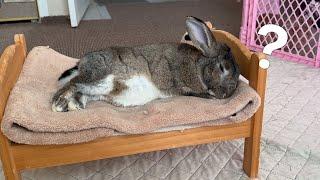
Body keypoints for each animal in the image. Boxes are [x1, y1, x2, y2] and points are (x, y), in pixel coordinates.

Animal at [50, 16, 240, 112]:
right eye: (222, 68)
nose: (226, 94)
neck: (199, 66)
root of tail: (81, 63)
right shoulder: (184, 87)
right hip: (101, 78)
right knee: (72, 83)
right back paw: (58, 104)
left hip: (101, 88)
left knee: (82, 91)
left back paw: (75, 105)